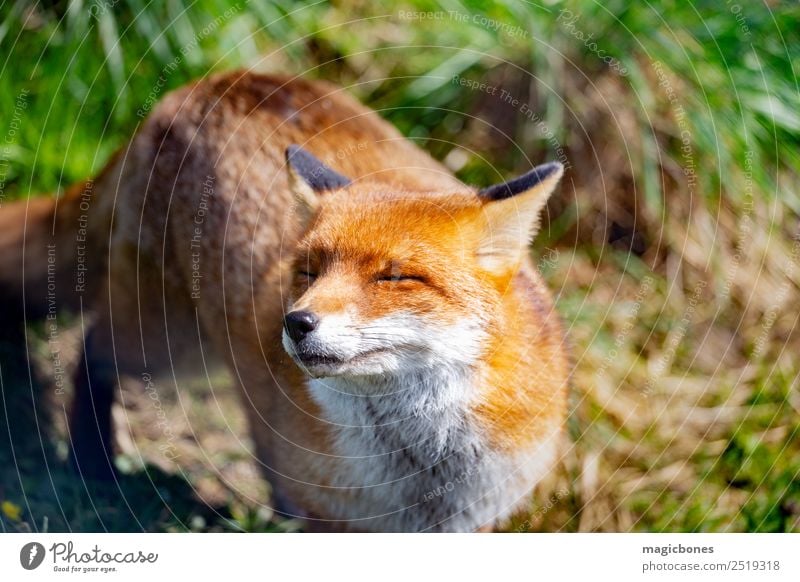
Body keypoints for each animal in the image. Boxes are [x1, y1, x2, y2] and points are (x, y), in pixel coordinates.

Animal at [0, 70, 568, 532]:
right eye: (309, 272)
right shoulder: (329, 514)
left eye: (395, 276)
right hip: (167, 342)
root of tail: (207, 82)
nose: (296, 322)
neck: (421, 465)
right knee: (91, 351)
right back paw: (91, 461)